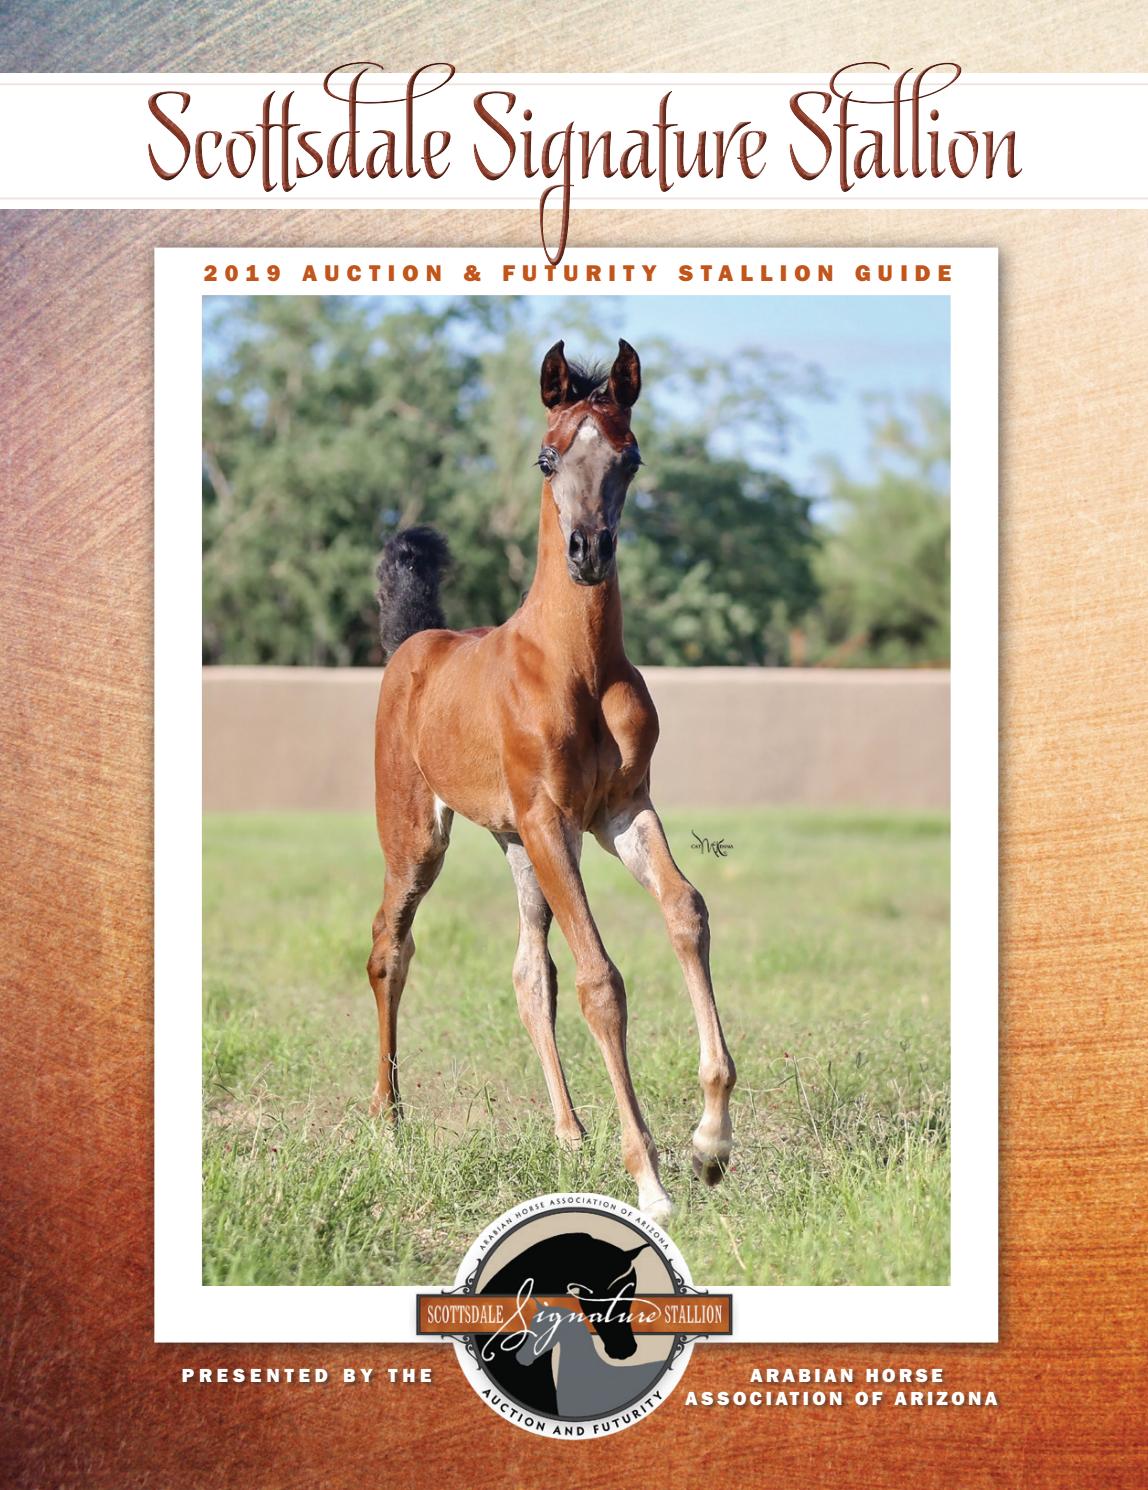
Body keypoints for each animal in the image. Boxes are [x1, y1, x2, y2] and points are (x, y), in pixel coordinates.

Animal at [369, 337, 736, 1219]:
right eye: (547, 457)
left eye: (630, 458)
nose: (588, 550)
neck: (576, 665)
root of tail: (413, 647)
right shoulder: (549, 819)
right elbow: (603, 978)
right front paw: (651, 1181)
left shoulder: (621, 811)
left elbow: (686, 913)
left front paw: (710, 1143)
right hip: (418, 837)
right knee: (388, 949)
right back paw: (388, 1125)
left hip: (514, 847)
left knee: (529, 973)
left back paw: (569, 1135)